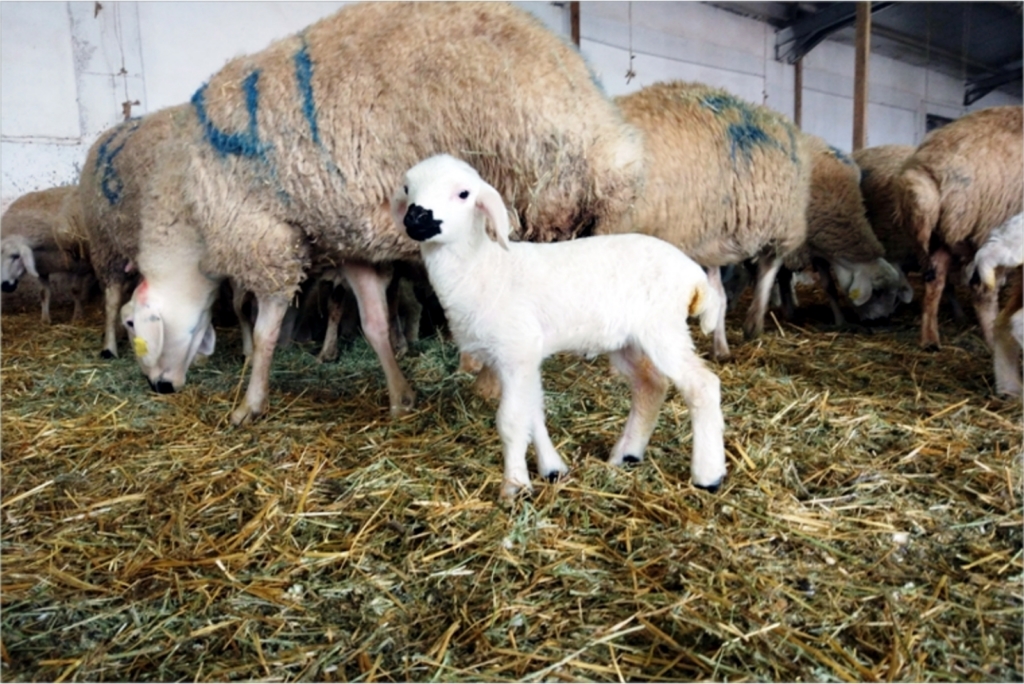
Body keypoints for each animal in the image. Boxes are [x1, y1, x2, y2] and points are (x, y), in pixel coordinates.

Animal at [1, 185, 93, 325]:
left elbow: (75, 290)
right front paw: (45, 319)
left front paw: (77, 316)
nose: (5, 286)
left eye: (16, 256)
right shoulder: (43, 267)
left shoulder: (79, 264)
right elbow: (43, 293)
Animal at [121, 1, 638, 428]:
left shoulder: (266, 239)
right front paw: (400, 397)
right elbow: (374, 326)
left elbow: (266, 333)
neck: (189, 210)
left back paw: (489, 382)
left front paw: (250, 404)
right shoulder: (351, 244)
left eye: (132, 325)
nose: (159, 387)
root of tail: (601, 138)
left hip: (525, 195)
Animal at [393, 154, 729, 497]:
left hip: (663, 329)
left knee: (702, 385)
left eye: (463, 194)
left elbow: (512, 420)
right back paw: (627, 455)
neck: (482, 267)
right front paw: (552, 469)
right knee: (651, 386)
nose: (416, 217)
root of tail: (694, 276)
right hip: (628, 341)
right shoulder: (521, 357)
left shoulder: (517, 350)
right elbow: (532, 413)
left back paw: (708, 475)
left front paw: (515, 486)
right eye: (407, 188)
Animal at [892, 104, 1019, 350]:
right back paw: (993, 342)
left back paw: (930, 340)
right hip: (993, 231)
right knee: (982, 291)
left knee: (934, 280)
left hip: (942, 236)